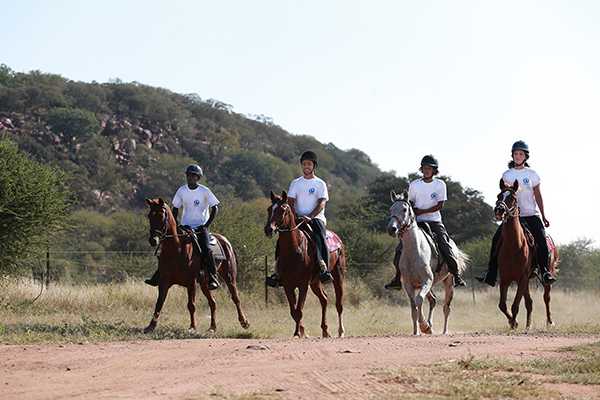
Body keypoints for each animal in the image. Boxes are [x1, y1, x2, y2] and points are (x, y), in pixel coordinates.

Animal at [144, 198, 250, 334]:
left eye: (161, 216)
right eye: (149, 216)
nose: (153, 240)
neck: (176, 249)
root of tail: (225, 241)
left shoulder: (191, 282)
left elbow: (191, 305)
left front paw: (192, 327)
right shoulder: (164, 281)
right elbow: (159, 302)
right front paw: (151, 326)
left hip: (229, 277)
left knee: (235, 298)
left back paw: (244, 322)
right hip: (204, 283)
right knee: (213, 303)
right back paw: (212, 327)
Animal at [264, 191, 346, 338]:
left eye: (282, 209)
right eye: (269, 209)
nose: (269, 229)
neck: (294, 250)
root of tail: (338, 239)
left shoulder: (303, 285)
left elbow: (299, 310)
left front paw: (299, 332)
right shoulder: (288, 285)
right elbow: (294, 311)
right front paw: (300, 332)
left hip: (338, 276)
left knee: (339, 304)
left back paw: (340, 331)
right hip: (315, 282)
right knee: (324, 299)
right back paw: (325, 331)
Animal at [386, 191, 472, 334]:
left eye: (404, 209)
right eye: (390, 209)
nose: (392, 229)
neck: (414, 251)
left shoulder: (427, 280)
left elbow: (419, 300)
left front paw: (424, 326)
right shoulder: (409, 285)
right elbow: (413, 307)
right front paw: (417, 331)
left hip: (448, 282)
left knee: (446, 308)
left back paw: (444, 331)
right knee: (433, 301)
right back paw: (430, 326)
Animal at [492, 180, 556, 330]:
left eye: (513, 198)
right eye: (499, 195)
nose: (499, 210)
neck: (514, 246)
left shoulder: (521, 278)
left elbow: (515, 305)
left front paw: (514, 323)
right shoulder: (505, 279)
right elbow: (502, 305)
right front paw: (513, 323)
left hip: (545, 274)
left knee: (546, 298)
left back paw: (549, 322)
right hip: (526, 280)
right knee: (529, 302)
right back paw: (528, 325)